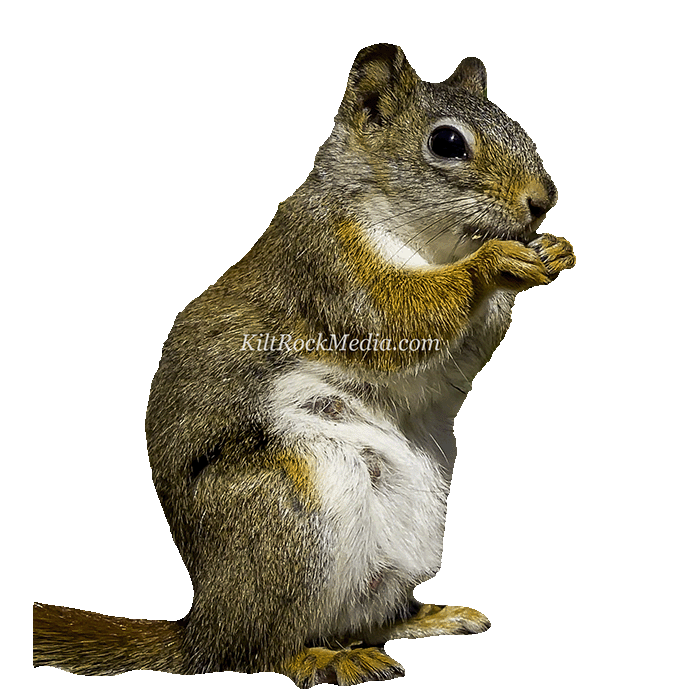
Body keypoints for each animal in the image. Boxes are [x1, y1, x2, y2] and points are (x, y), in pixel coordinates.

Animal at [33, 44, 574, 687]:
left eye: (516, 125)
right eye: (446, 143)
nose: (543, 202)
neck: (431, 241)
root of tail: (202, 631)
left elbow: (465, 347)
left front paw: (554, 249)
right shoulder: (329, 263)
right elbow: (398, 318)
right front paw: (492, 263)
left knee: (364, 617)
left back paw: (427, 618)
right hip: (288, 518)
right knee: (257, 652)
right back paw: (320, 657)